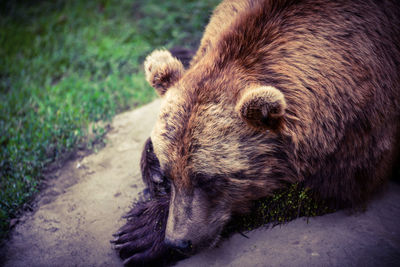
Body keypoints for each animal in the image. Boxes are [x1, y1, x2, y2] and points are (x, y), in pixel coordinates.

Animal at [111, 0, 400, 266]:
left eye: (209, 180)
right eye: (170, 176)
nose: (179, 242)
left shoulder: (359, 130)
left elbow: (320, 189)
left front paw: (142, 234)